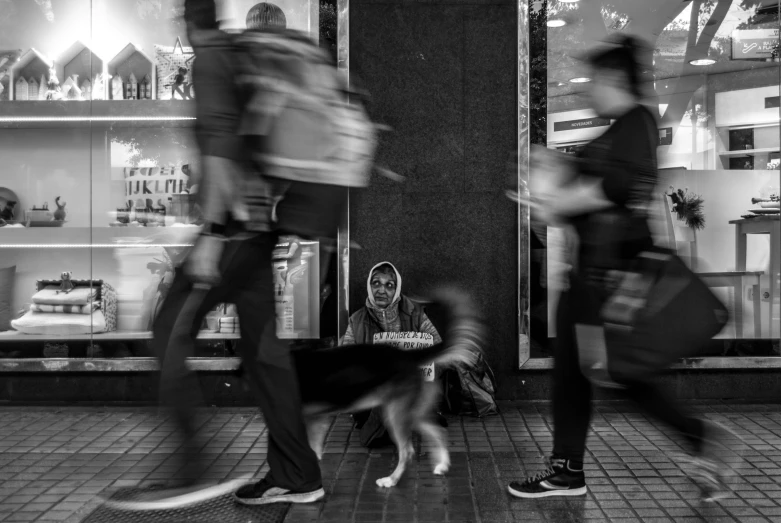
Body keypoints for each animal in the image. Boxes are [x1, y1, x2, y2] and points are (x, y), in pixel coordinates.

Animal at [290, 286, 482, 488]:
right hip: (409, 413)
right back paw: (442, 466)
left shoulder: (311, 420)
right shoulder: (313, 420)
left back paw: (391, 480)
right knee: (437, 431)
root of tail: (408, 355)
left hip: (396, 414)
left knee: (408, 451)